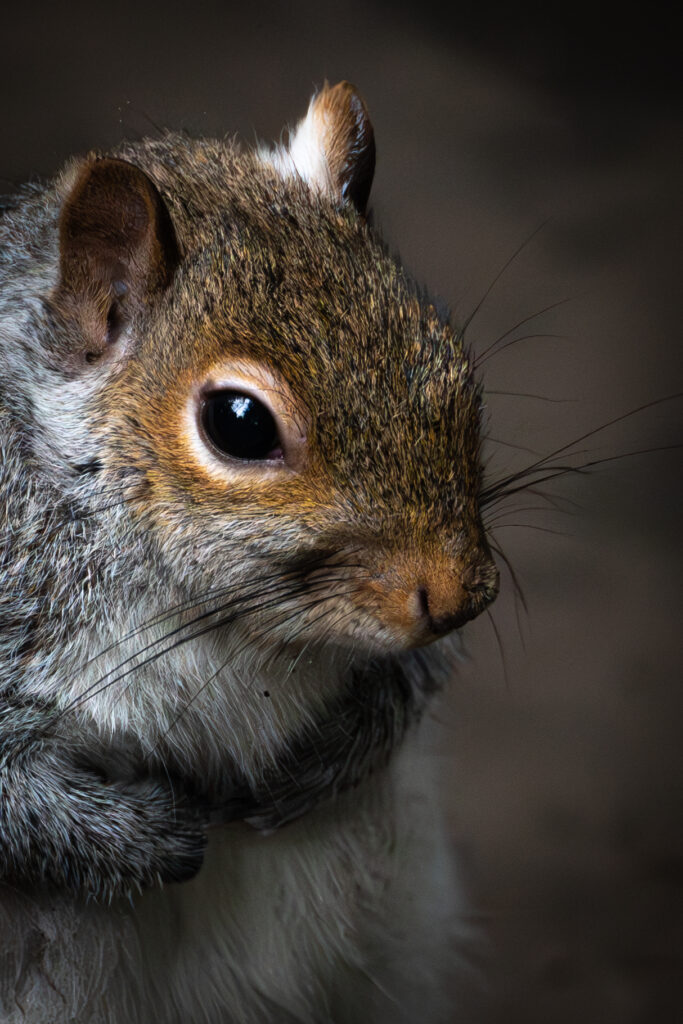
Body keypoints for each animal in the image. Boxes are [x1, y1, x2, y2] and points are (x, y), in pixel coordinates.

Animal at [0, 82, 498, 1023]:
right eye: (239, 423)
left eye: (453, 366)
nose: (460, 597)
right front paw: (139, 838)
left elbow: (413, 682)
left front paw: (330, 754)